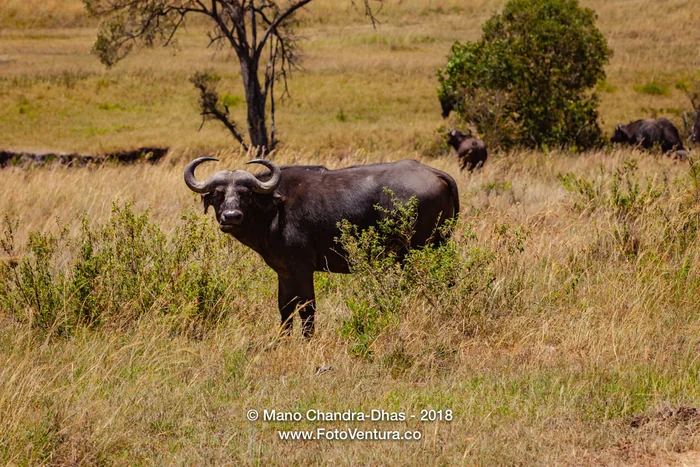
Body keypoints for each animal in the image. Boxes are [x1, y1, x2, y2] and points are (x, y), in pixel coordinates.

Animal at [184, 158, 460, 337]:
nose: (231, 216)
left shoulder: (303, 270)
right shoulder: (284, 272)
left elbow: (307, 308)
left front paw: (307, 340)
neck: (274, 208)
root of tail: (433, 172)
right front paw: (283, 340)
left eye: (245, 193)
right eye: (218, 193)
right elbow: (285, 308)